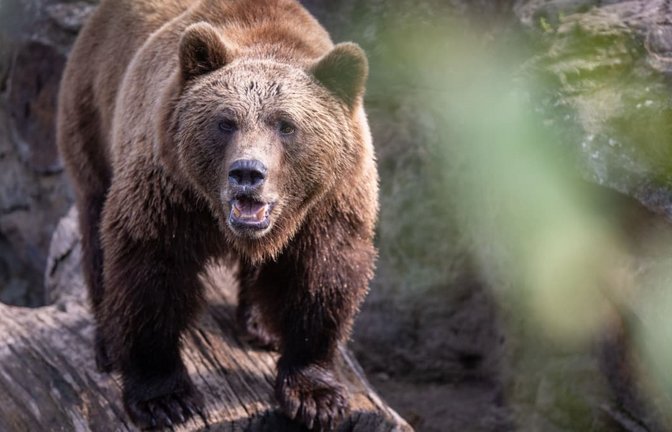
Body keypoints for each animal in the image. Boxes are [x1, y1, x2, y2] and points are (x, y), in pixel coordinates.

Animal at [56, 0, 378, 430]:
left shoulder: (330, 202)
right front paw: (164, 398)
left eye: (286, 125)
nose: (247, 172)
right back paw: (108, 341)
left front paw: (316, 396)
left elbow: (322, 278)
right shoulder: (168, 191)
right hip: (92, 111)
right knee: (95, 225)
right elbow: (149, 273)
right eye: (226, 122)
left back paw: (262, 326)